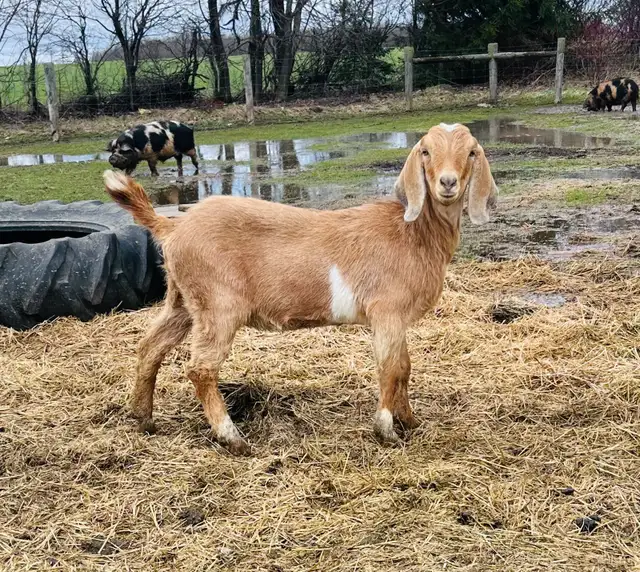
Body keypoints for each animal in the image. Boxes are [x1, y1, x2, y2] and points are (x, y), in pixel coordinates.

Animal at [103, 122, 498, 455]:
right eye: (426, 151)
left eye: (471, 152)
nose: (447, 183)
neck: (413, 232)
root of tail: (172, 227)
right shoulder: (386, 310)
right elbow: (390, 368)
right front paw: (386, 430)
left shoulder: (397, 318)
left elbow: (404, 367)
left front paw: (410, 421)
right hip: (218, 303)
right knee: (201, 369)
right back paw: (232, 437)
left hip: (183, 299)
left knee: (150, 347)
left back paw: (143, 418)